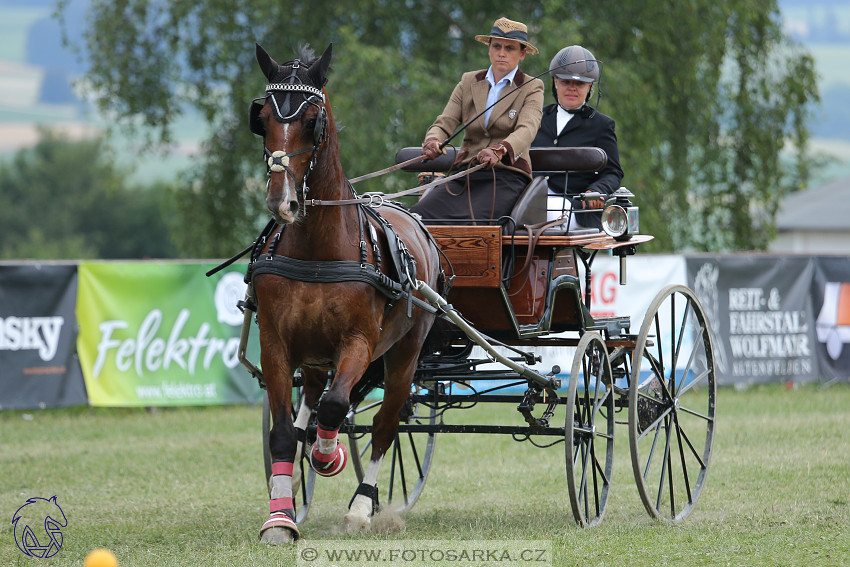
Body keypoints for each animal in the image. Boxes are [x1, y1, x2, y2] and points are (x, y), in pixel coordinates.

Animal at [243, 42, 438, 544]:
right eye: (262, 118)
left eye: (314, 119)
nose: (282, 201)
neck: (318, 249)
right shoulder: (276, 344)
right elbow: (284, 432)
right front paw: (280, 517)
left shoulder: (359, 343)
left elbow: (337, 407)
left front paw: (329, 458)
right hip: (313, 357)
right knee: (310, 406)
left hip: (404, 353)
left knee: (386, 422)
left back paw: (361, 505)